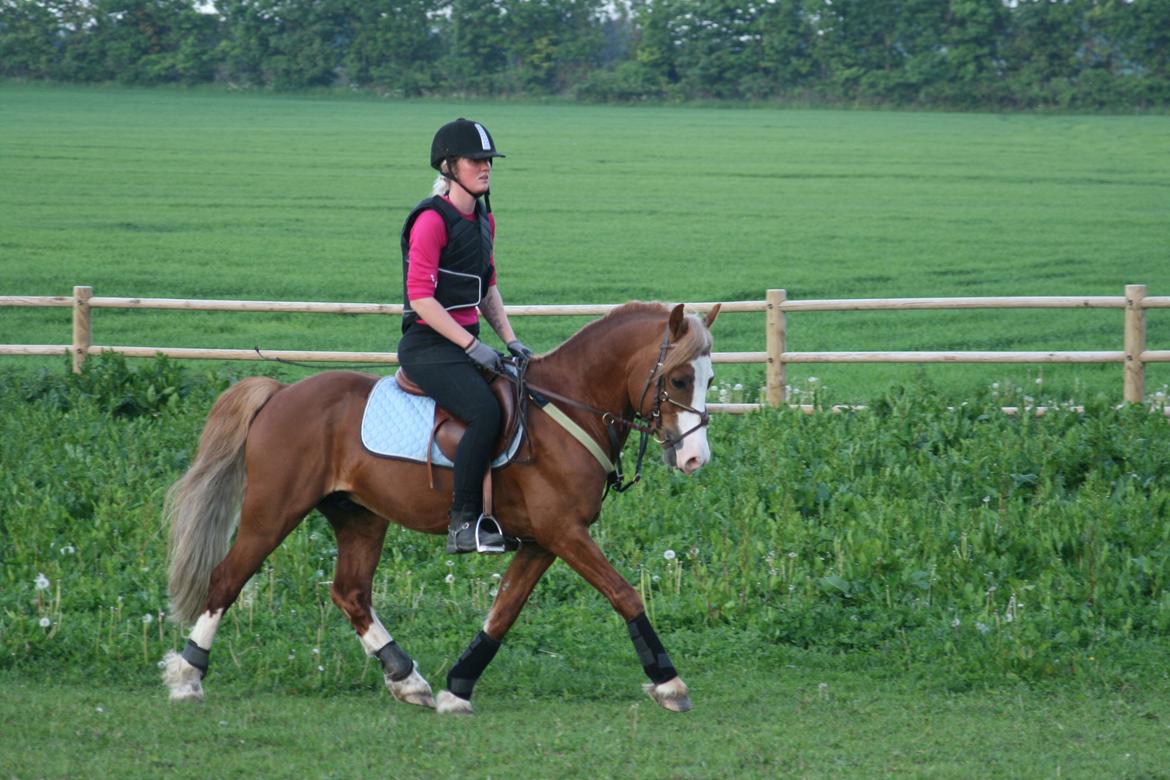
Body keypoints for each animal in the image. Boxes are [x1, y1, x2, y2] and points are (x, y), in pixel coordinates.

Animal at [160, 301, 716, 715]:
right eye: (679, 379)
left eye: (709, 380)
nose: (694, 458)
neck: (565, 407)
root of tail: (280, 394)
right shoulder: (564, 532)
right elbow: (625, 594)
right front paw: (669, 682)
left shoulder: (544, 540)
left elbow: (502, 612)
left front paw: (458, 686)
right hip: (272, 511)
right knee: (226, 579)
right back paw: (188, 675)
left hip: (359, 516)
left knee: (351, 593)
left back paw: (406, 678)